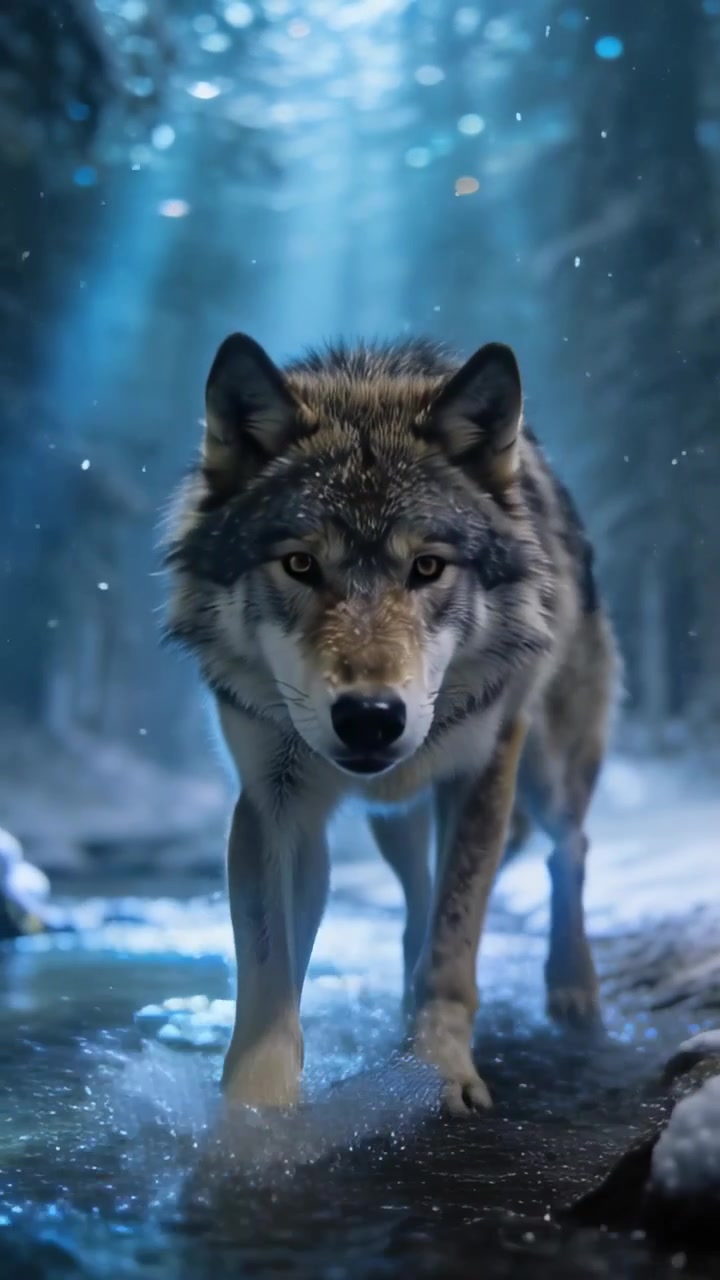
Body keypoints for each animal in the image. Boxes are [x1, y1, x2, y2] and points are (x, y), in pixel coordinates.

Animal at [165, 333, 618, 1116]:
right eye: (300, 563)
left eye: (428, 567)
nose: (371, 719)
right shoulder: (274, 804)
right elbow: (267, 982)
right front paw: (255, 1117)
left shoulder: (481, 774)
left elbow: (453, 943)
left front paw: (435, 1071)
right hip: (393, 818)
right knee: (416, 895)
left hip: (546, 773)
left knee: (569, 848)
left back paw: (573, 986)